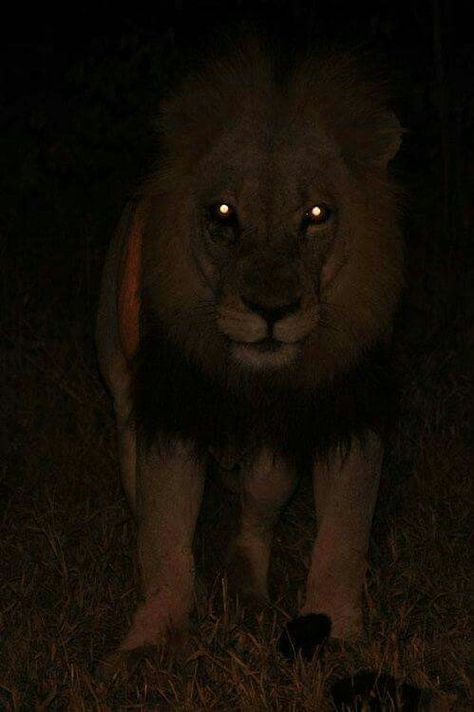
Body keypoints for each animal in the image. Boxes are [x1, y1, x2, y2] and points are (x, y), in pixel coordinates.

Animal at [96, 36, 404, 660]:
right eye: (223, 213)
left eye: (316, 215)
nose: (271, 312)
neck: (260, 378)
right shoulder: (173, 407)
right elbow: (166, 537)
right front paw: (148, 642)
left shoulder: (353, 411)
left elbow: (343, 539)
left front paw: (337, 634)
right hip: (122, 399)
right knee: (140, 495)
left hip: (271, 463)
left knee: (254, 519)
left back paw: (251, 597)